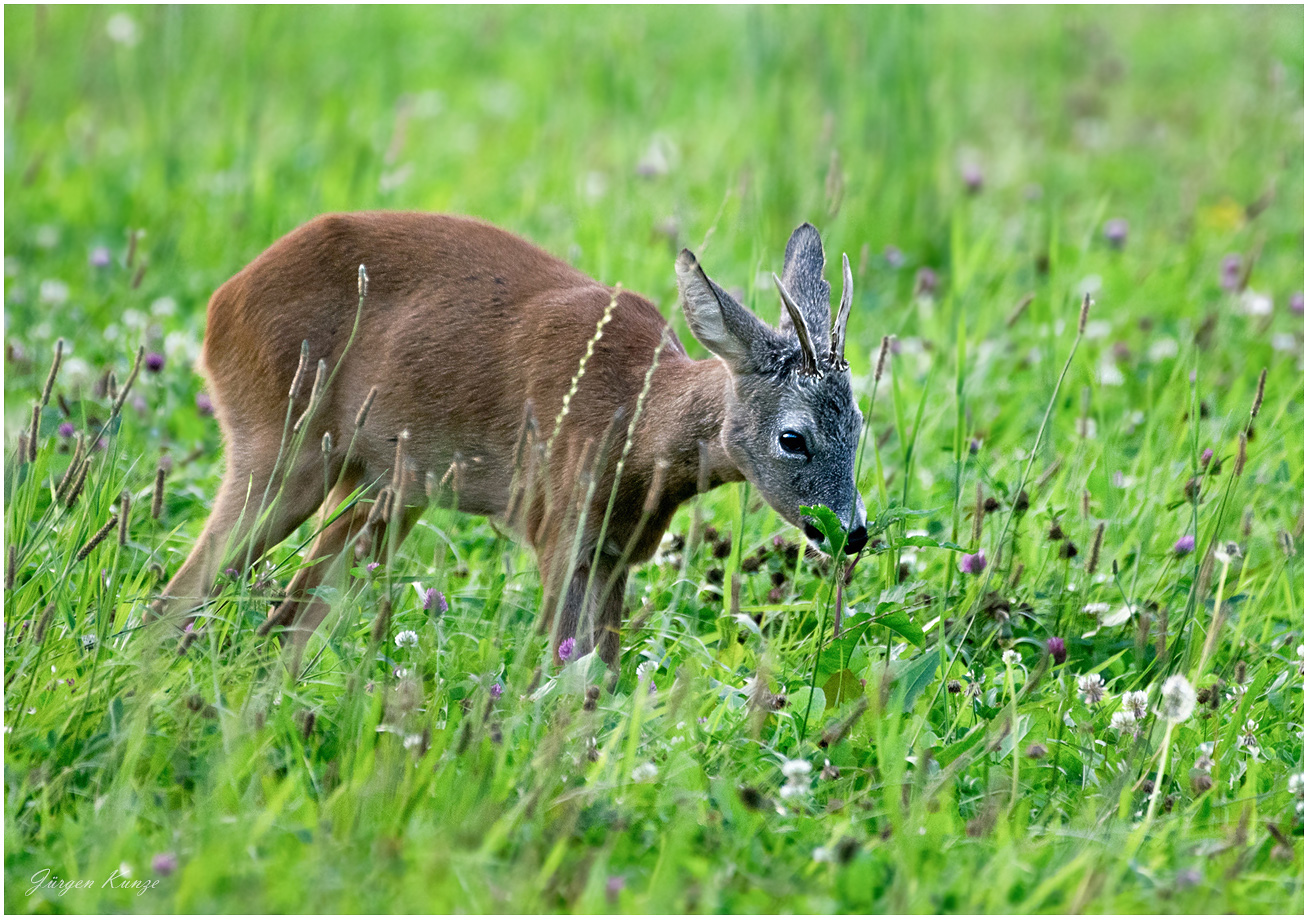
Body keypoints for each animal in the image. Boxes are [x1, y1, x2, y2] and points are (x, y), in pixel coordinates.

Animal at [150, 212, 869, 665]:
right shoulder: (559, 527)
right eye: (793, 437)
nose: (853, 532)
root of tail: (218, 307)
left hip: (382, 487)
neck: (635, 430)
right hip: (277, 442)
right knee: (183, 593)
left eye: (859, 425)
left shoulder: (615, 553)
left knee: (284, 623)